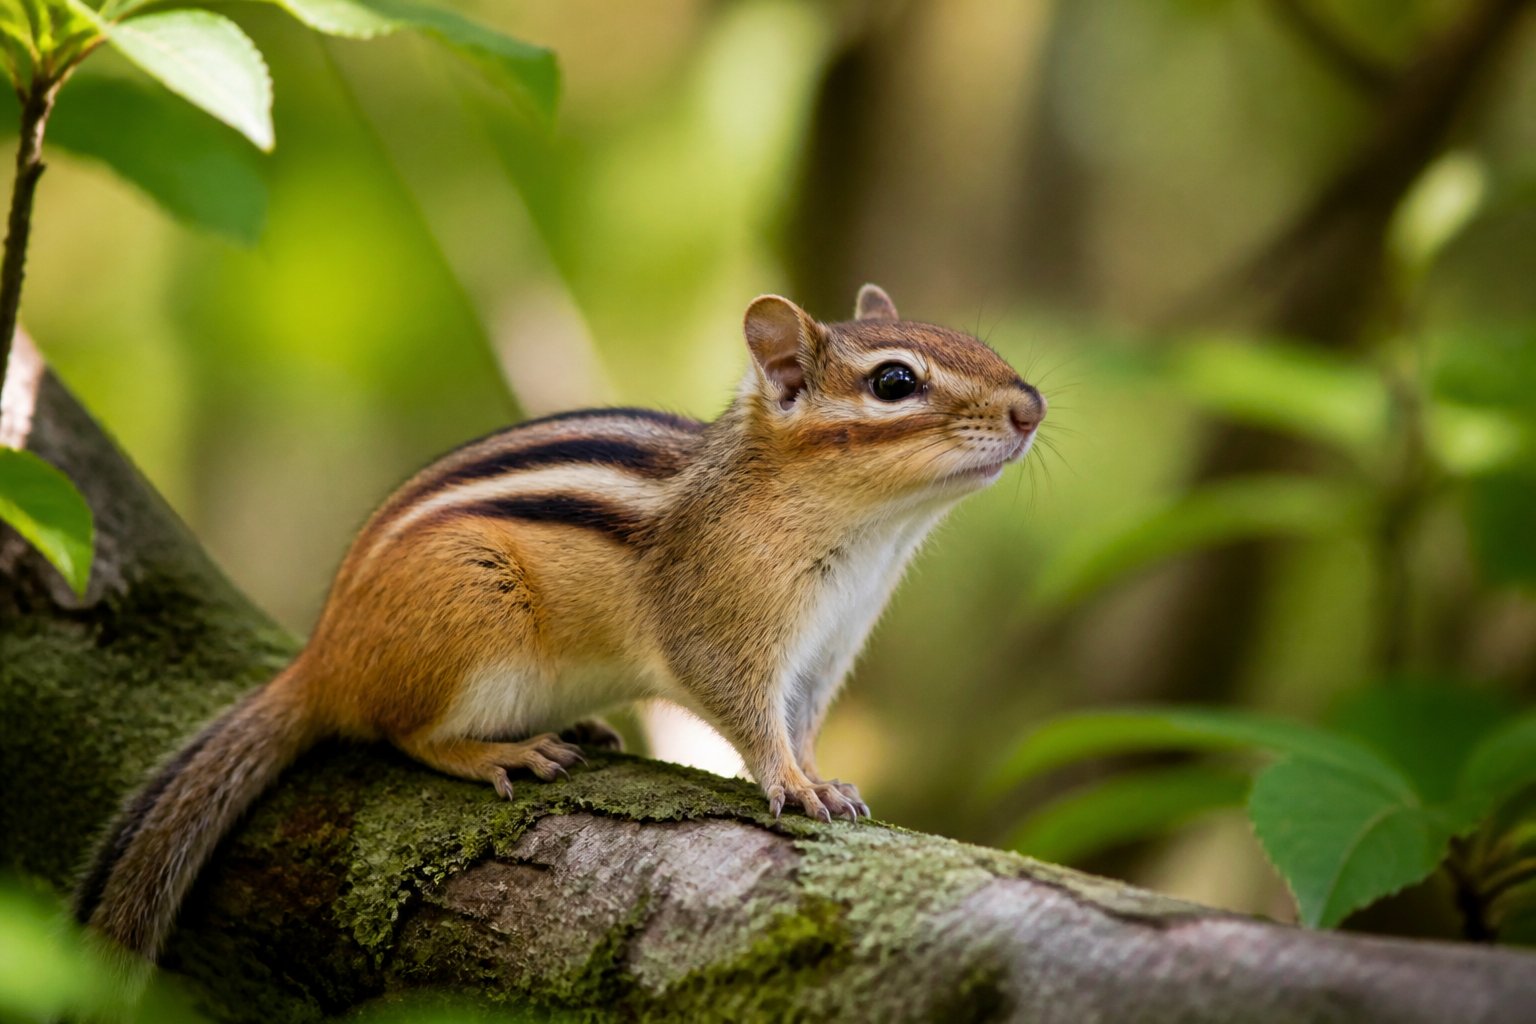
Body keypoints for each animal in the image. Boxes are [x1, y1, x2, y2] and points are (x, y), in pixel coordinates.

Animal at [73, 284, 1046, 968]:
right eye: (894, 382)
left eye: (979, 345)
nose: (1031, 406)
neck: (868, 536)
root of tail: (323, 656)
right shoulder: (724, 628)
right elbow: (747, 714)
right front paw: (791, 786)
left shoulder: (825, 652)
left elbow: (800, 724)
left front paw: (823, 780)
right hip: (474, 614)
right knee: (402, 732)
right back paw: (498, 752)